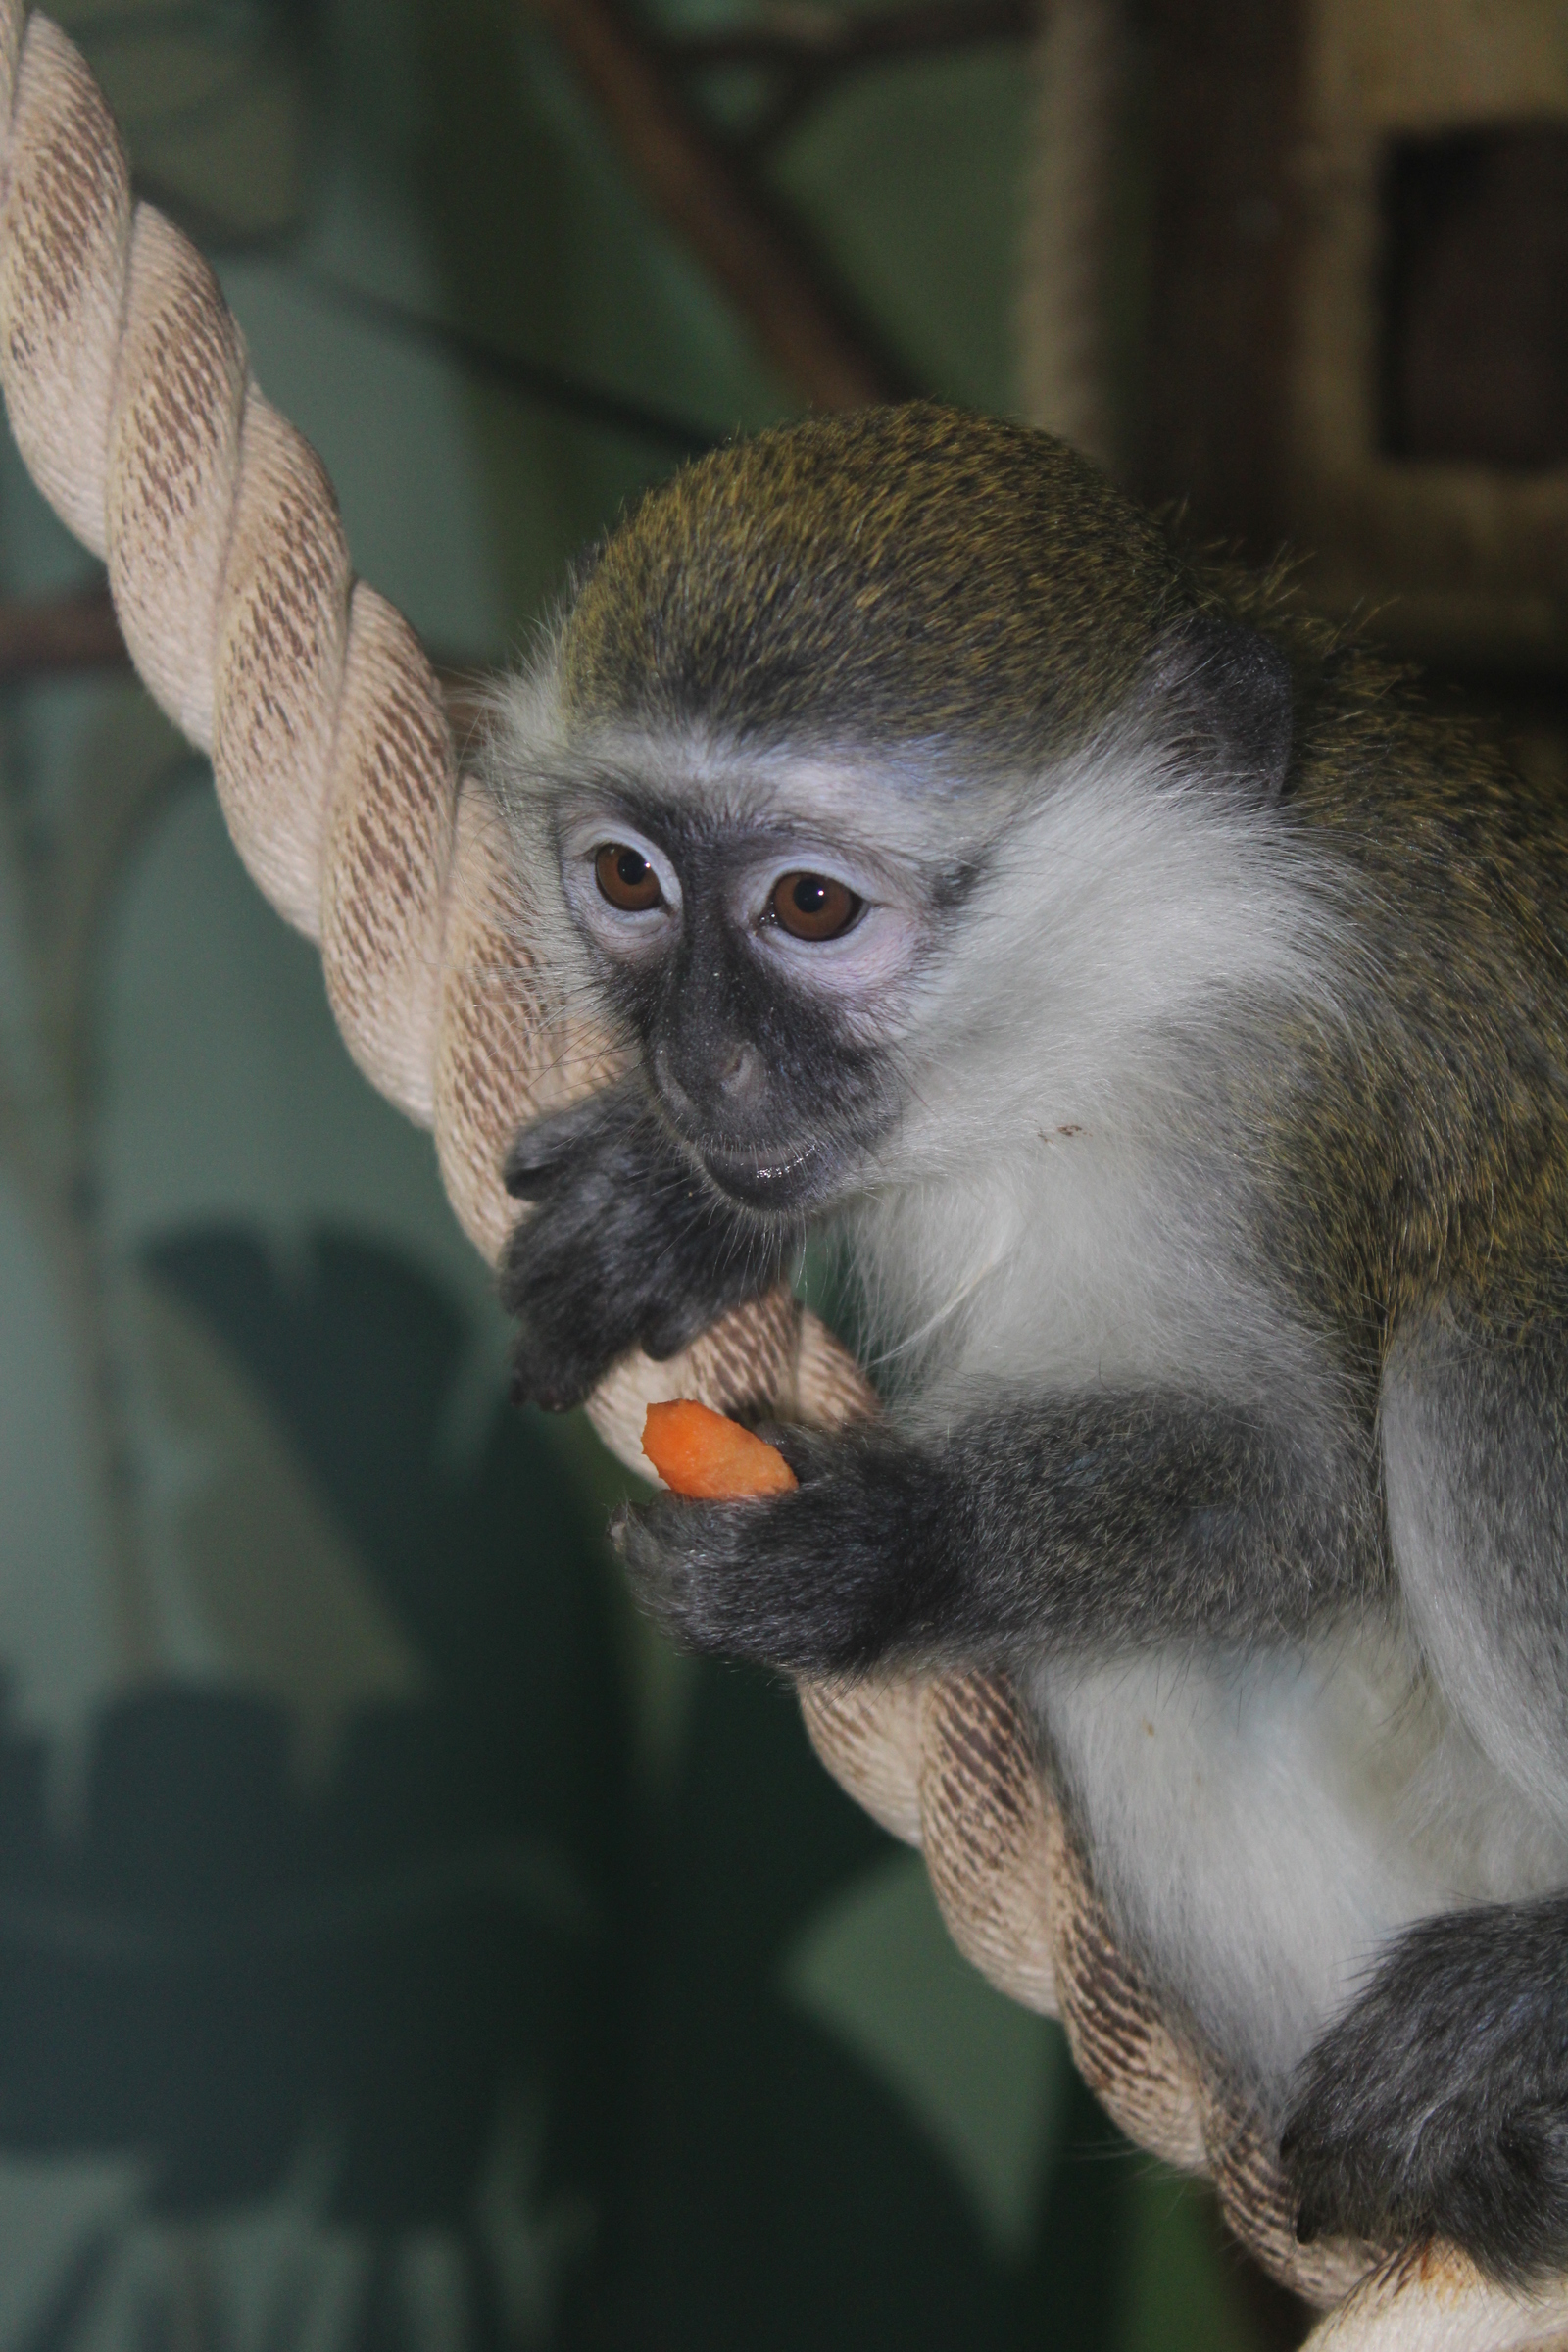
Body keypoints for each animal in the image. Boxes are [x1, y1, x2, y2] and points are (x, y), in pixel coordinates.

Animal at [491, 400, 1568, 2277]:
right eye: (627, 881)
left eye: (811, 911)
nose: (701, 1064)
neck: (1092, 1038)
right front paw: (674, 1208)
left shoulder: (1279, 1104)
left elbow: (1314, 1494)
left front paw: (871, 1549)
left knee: (1482, 1345)